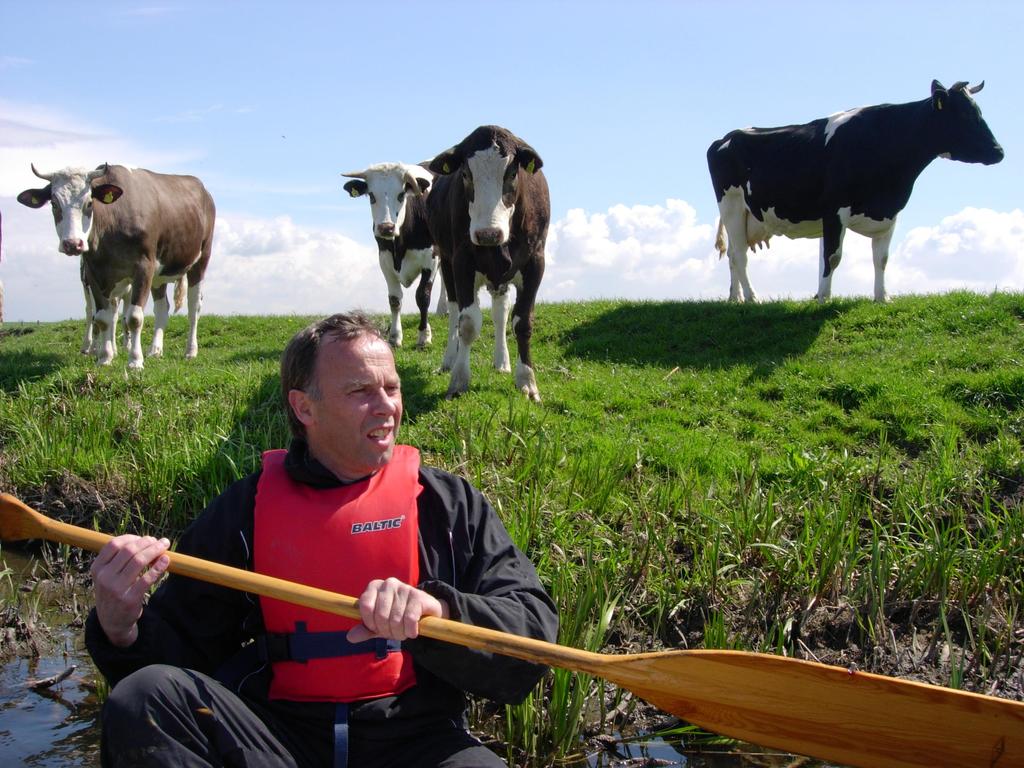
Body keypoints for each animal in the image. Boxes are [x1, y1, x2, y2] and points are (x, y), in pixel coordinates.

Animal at [18, 163, 216, 368]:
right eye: (54, 204)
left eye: (89, 203)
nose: (72, 244)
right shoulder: (94, 274)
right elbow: (103, 318)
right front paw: (105, 358)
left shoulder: (144, 268)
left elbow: (134, 318)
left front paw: (135, 361)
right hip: (158, 276)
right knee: (162, 308)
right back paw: (155, 350)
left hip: (200, 260)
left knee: (194, 307)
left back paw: (190, 351)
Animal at [344, 165, 444, 352]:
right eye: (371, 195)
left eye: (401, 194)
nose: (386, 227)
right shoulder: (385, 261)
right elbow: (395, 300)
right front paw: (395, 337)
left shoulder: (432, 258)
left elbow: (423, 296)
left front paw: (423, 336)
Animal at [425, 124, 552, 403]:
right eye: (465, 174)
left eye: (512, 173)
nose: (488, 234)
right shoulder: (461, 261)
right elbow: (468, 323)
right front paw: (459, 380)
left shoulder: (535, 262)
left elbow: (522, 322)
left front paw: (527, 381)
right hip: (447, 263)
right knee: (454, 311)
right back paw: (450, 359)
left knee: (500, 312)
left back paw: (501, 361)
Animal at [708, 79, 1003, 303]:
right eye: (965, 115)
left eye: (979, 112)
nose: (998, 151)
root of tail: (725, 137)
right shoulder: (833, 210)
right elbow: (832, 256)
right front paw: (824, 299)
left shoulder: (890, 214)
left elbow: (881, 259)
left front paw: (882, 297)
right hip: (732, 205)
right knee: (739, 255)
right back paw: (752, 297)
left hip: (746, 217)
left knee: (733, 255)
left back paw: (736, 299)